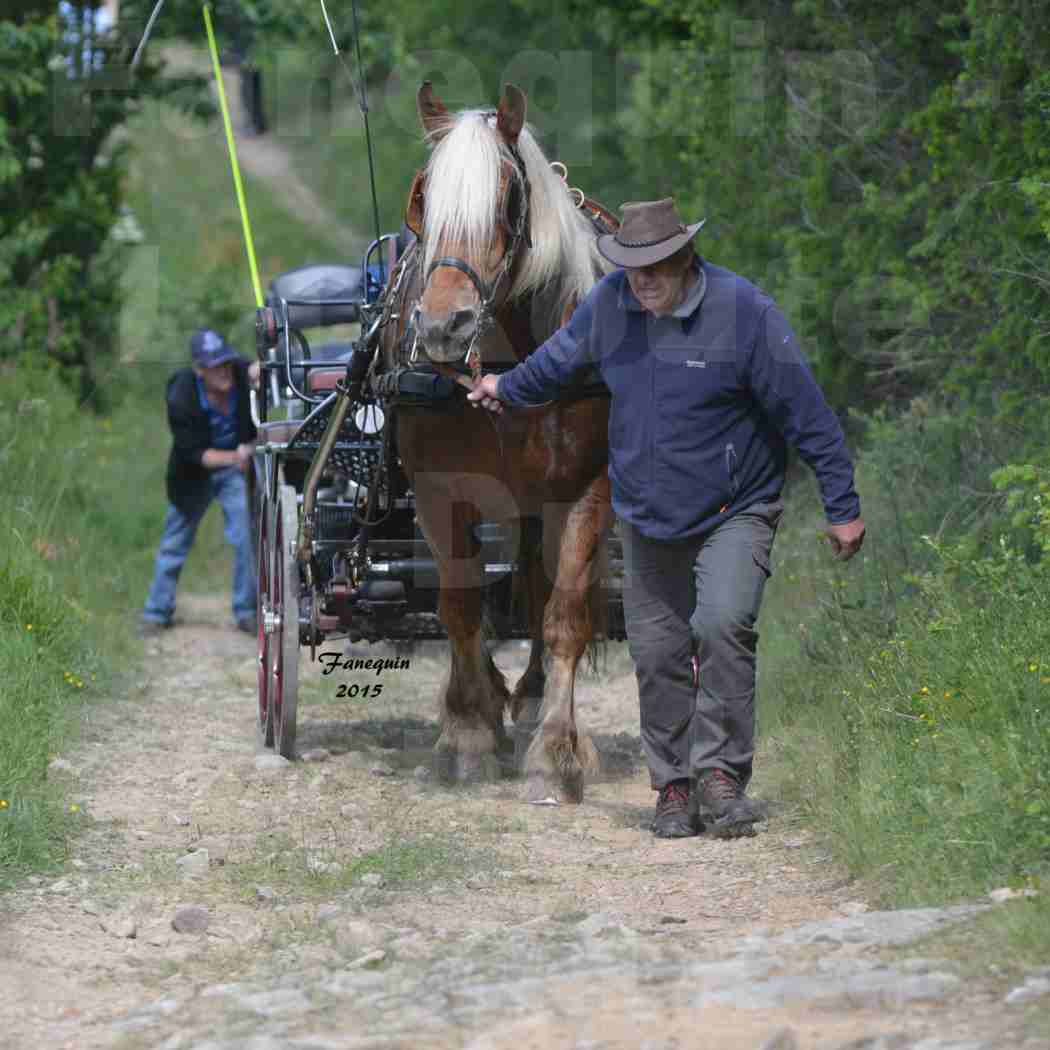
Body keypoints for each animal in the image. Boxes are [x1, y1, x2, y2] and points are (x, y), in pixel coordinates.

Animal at [380, 84, 613, 802]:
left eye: (508, 198)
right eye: (423, 195)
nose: (443, 325)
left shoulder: (586, 488)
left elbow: (564, 614)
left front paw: (557, 752)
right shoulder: (438, 492)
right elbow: (459, 607)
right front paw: (467, 734)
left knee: (538, 588)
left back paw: (533, 700)